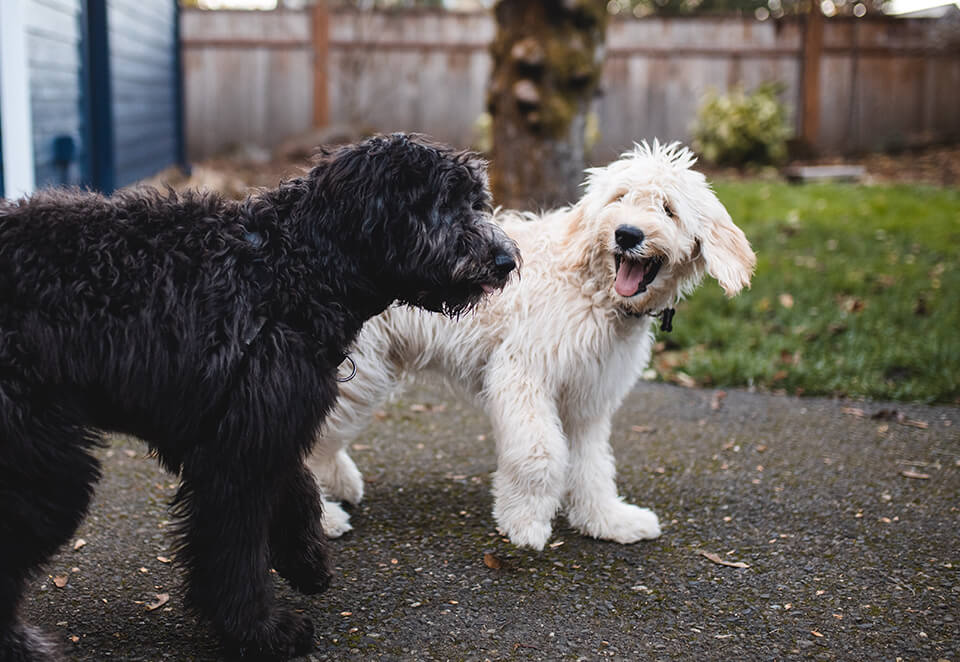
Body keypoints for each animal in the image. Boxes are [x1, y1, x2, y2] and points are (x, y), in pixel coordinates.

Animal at [0, 132, 516, 660]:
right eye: (443, 203)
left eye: (475, 201)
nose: (506, 261)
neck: (287, 272)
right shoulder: (237, 452)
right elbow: (235, 549)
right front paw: (261, 630)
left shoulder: (261, 424)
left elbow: (298, 487)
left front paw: (307, 561)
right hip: (45, 469)